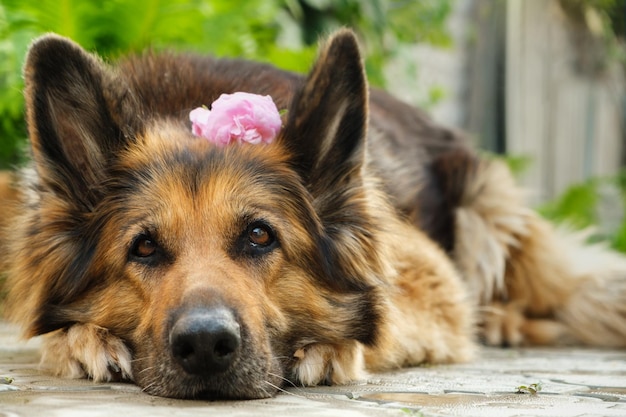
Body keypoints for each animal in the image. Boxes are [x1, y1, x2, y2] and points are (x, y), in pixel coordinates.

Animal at [3, 28, 624, 396]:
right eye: (145, 247)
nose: (204, 345)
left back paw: (504, 321)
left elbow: (386, 319)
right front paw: (83, 341)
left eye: (259, 236)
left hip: (485, 214)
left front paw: (331, 347)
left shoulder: (430, 277)